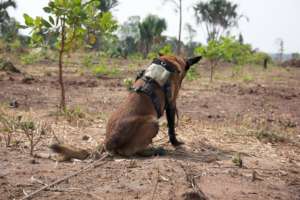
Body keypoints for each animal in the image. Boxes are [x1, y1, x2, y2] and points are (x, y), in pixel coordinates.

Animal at [50, 54, 202, 159]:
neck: (168, 61)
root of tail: (108, 141)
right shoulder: (171, 104)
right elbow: (172, 129)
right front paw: (176, 143)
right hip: (153, 123)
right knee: (129, 151)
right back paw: (153, 151)